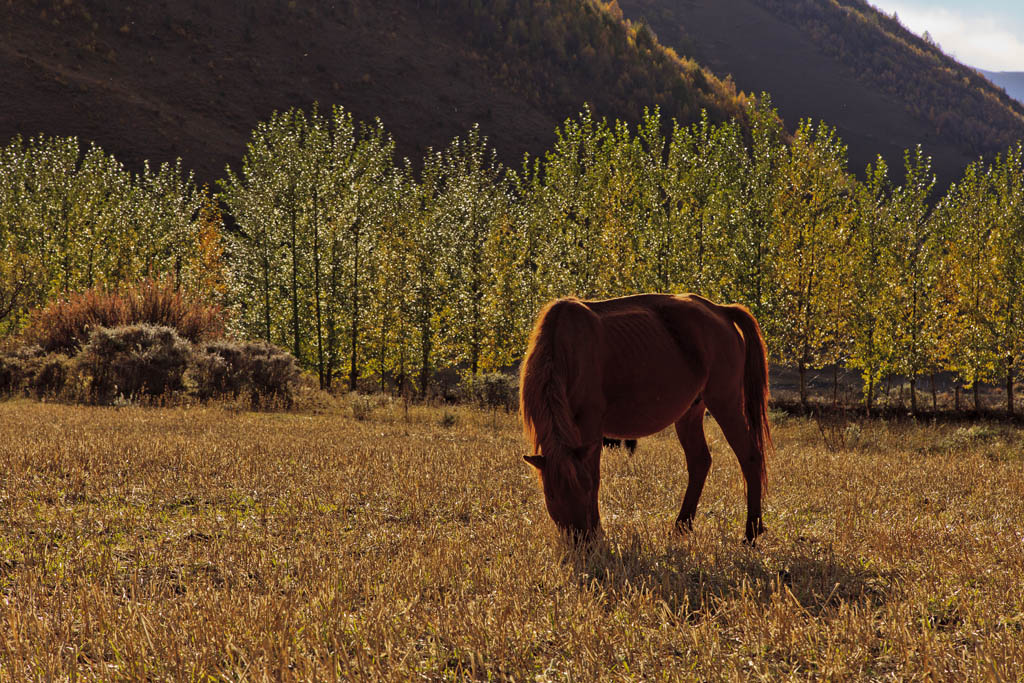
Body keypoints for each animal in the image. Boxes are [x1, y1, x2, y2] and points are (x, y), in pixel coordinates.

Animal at [520, 294, 770, 544]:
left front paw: (599, 531)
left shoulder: (591, 427)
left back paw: (751, 531)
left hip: (725, 403)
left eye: (585, 489)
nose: (581, 538)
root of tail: (721, 310)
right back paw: (681, 525)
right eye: (551, 496)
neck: (565, 347)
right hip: (690, 412)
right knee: (700, 461)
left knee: (750, 456)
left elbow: (595, 475)